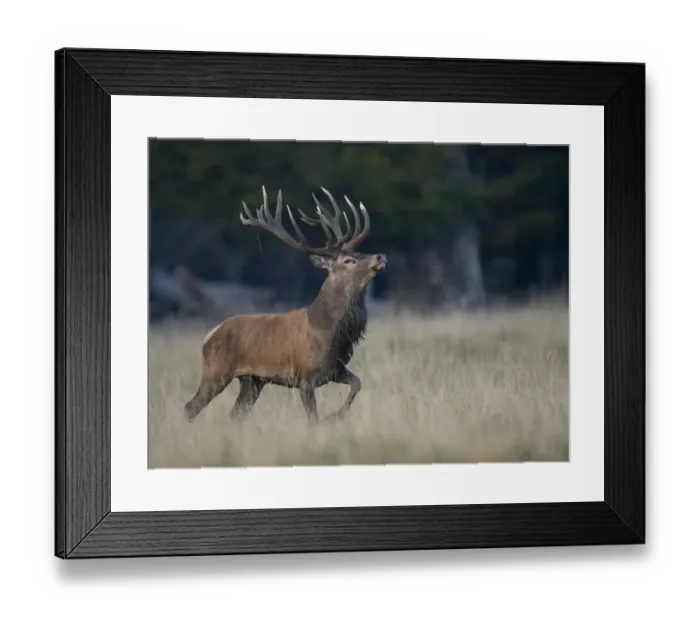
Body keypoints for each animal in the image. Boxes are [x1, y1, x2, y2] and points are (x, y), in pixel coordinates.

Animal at [184, 185, 387, 425]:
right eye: (349, 260)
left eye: (359, 252)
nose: (380, 256)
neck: (328, 331)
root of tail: (209, 335)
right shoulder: (304, 376)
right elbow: (313, 418)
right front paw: (329, 417)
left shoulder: (335, 369)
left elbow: (357, 383)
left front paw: (336, 415)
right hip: (216, 370)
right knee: (191, 407)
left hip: (252, 380)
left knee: (235, 414)